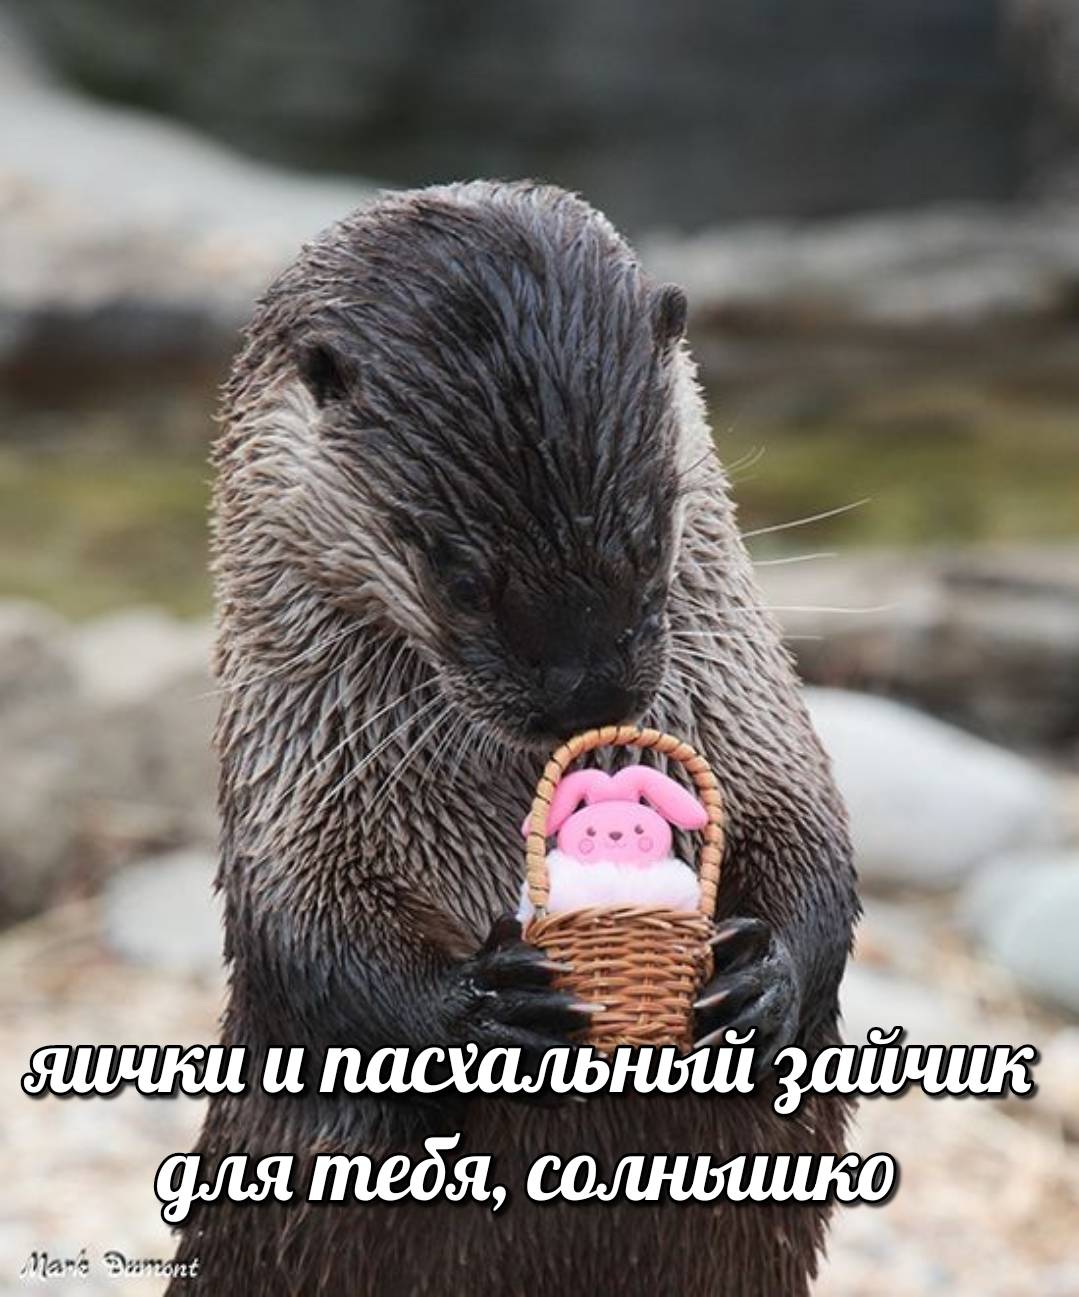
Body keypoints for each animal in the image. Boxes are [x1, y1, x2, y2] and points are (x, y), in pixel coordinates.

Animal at [170, 180, 858, 1297]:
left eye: (648, 530)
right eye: (456, 573)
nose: (587, 689)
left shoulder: (753, 722)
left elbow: (813, 841)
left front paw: (764, 981)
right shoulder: (296, 793)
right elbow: (310, 935)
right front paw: (484, 1012)